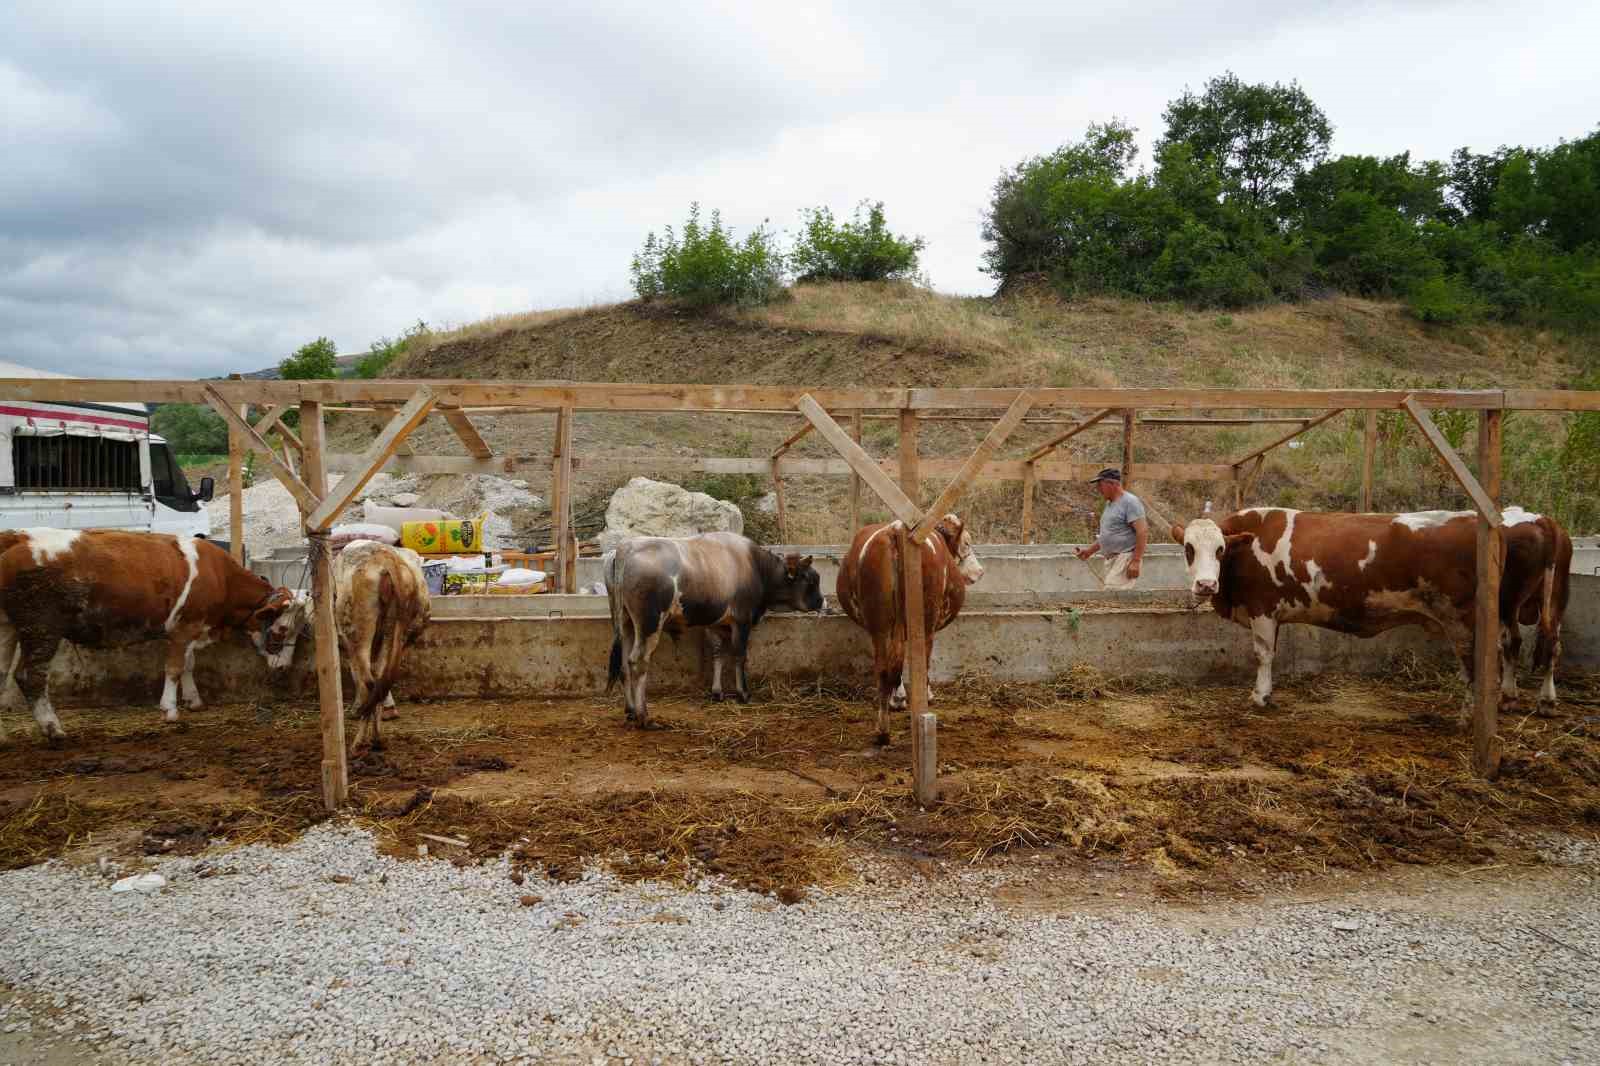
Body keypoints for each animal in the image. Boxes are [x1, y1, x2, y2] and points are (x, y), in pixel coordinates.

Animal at [0, 528, 305, 739]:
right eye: (282, 628)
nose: (284, 669)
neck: (220, 576)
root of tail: (17, 536)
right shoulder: (184, 628)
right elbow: (174, 668)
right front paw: (170, 710)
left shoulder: (189, 631)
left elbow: (188, 665)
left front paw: (193, 700)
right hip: (42, 630)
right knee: (29, 676)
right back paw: (53, 728)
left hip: (7, 627)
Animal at [332, 541, 432, 745]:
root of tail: (388, 560)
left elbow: (357, 675)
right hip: (398, 631)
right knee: (381, 679)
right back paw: (376, 737)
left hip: (358, 630)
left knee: (369, 681)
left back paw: (361, 740)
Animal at [601, 528, 825, 723]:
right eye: (811, 580)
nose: (822, 601)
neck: (754, 565)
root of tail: (626, 547)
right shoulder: (742, 620)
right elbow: (739, 656)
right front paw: (743, 693)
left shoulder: (716, 624)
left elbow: (718, 655)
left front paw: (717, 692)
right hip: (649, 624)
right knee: (637, 662)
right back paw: (643, 716)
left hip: (625, 622)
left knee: (624, 665)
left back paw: (630, 710)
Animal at [832, 515, 979, 739]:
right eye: (967, 542)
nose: (980, 571)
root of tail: (896, 530)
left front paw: (898, 698)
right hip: (925, 625)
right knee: (918, 662)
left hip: (880, 627)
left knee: (884, 669)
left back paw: (883, 729)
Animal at [1177, 505, 1574, 710]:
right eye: (1188, 548)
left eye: (1220, 549)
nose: (1206, 585)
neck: (1251, 544)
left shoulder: (1263, 609)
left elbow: (1263, 656)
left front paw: (1260, 696)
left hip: (1466, 618)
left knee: (1483, 660)